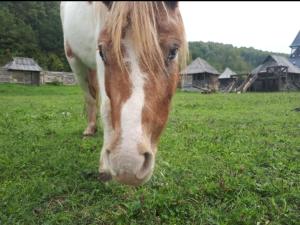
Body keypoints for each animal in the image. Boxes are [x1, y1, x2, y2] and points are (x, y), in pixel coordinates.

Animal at [60, 0, 188, 185]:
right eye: (102, 52)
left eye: (173, 51)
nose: (127, 164)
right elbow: (106, 107)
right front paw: (104, 166)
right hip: (74, 61)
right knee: (90, 97)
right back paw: (91, 128)